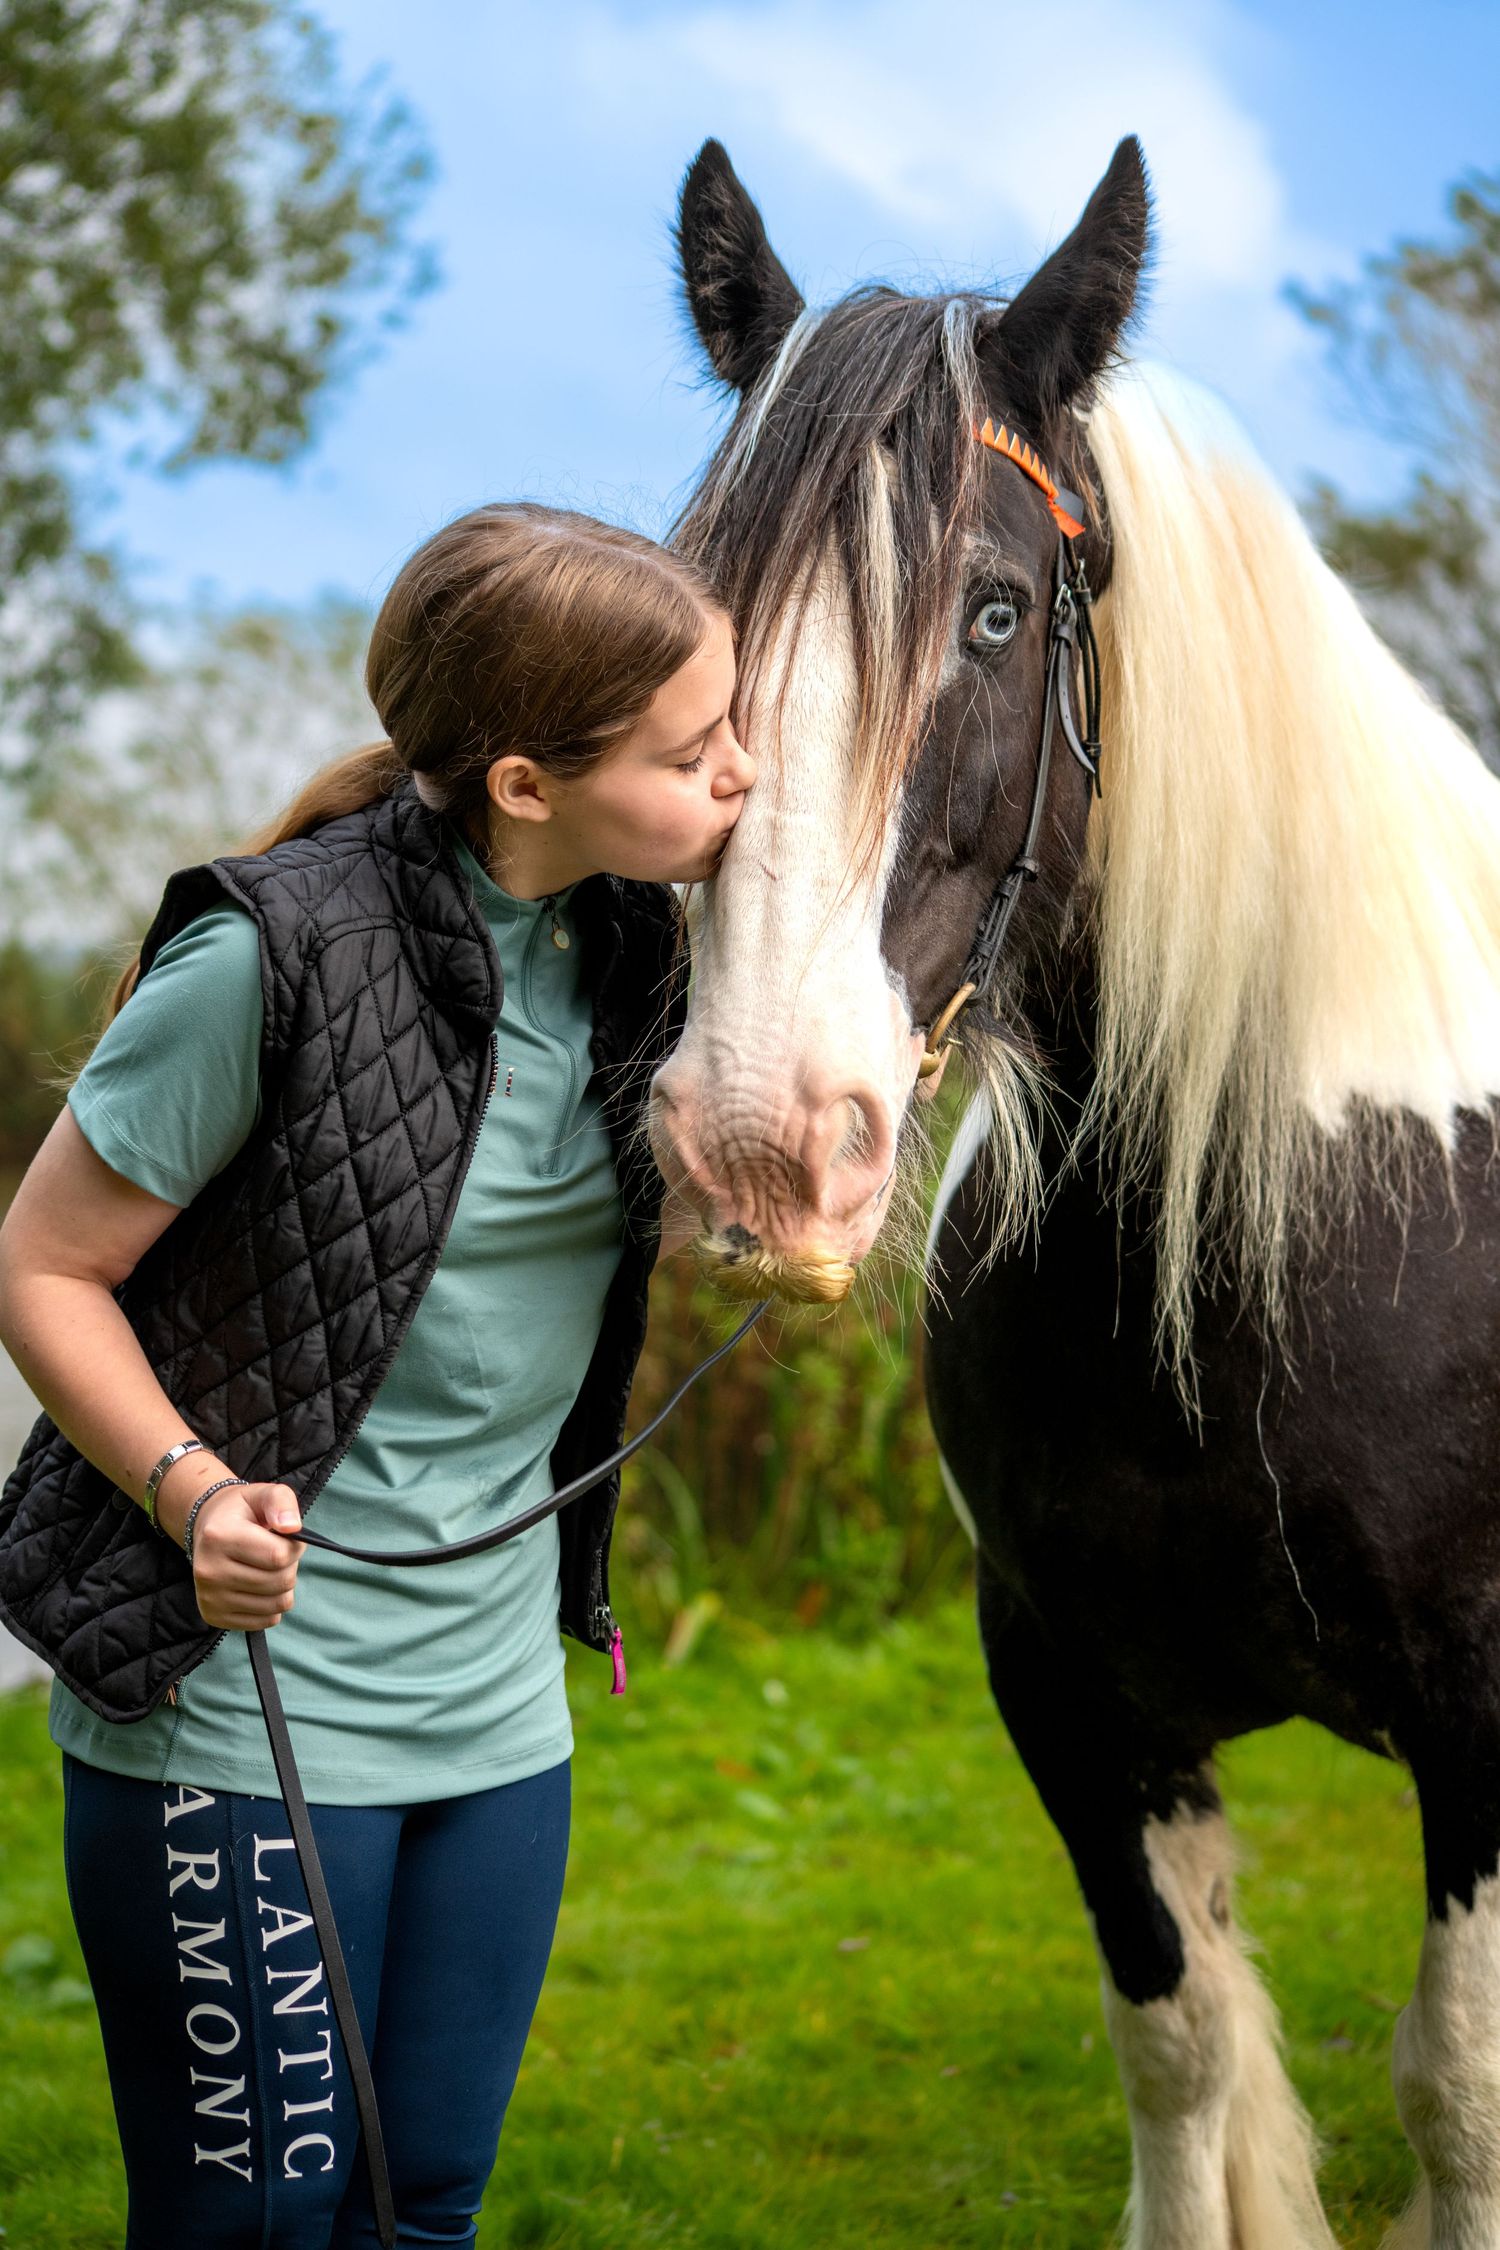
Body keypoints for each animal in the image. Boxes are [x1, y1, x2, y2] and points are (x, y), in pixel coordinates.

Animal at [647, 134, 1500, 2249]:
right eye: (699, 613)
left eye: (1000, 614)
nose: (759, 1136)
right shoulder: (1071, 1693)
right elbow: (1179, 2047)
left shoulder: (1482, 1710)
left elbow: (1457, 2088)